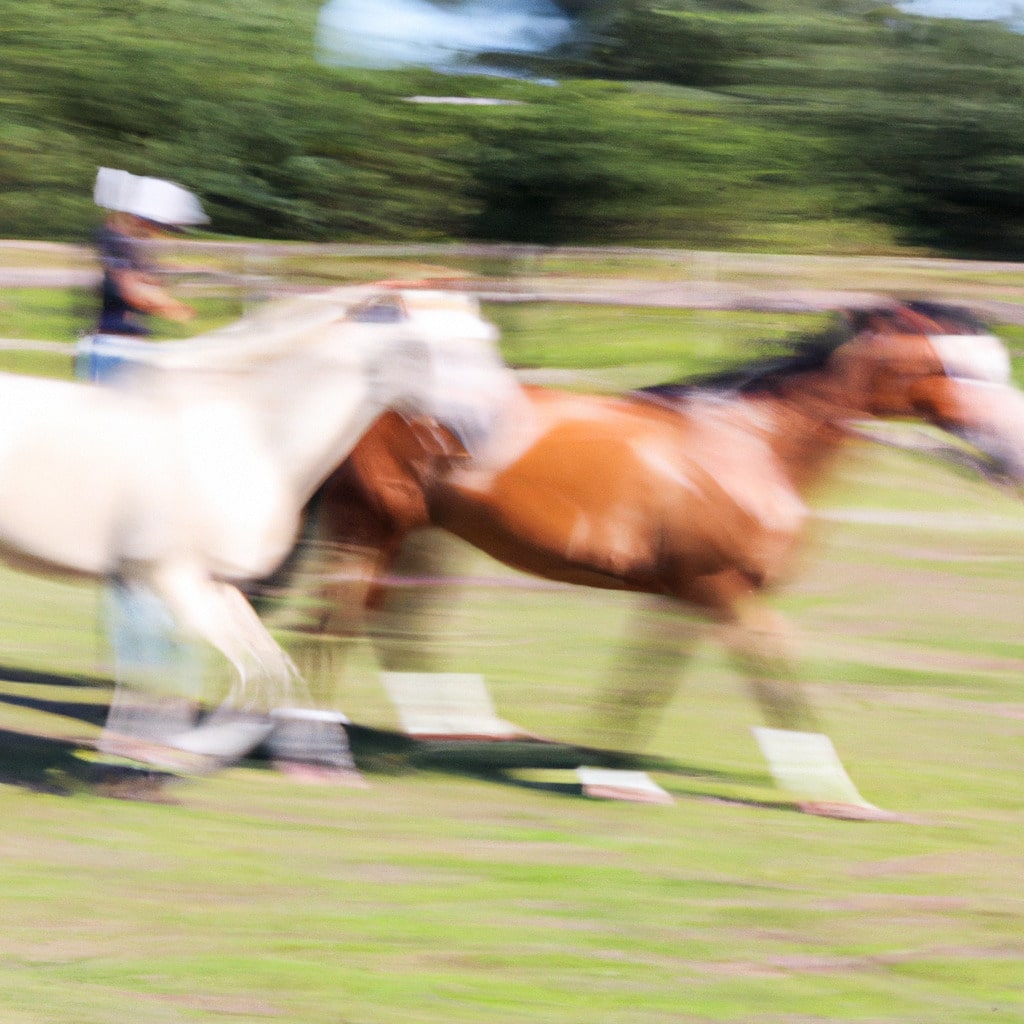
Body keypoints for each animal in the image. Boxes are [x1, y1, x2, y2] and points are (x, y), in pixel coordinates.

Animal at [8, 284, 520, 770]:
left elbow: (271, 673)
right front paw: (173, 752)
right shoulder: (169, 578)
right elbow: (228, 675)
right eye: (442, 352)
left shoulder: (215, 584)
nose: (496, 430)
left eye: (488, 343)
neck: (250, 437)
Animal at [268, 299, 1024, 819]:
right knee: (332, 624)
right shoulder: (724, 588)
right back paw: (320, 759)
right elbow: (776, 679)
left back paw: (442, 733)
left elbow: (645, 681)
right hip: (374, 524)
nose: (1012, 460)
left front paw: (618, 779)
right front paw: (837, 798)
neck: (753, 449)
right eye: (951, 367)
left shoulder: (685, 592)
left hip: (416, 535)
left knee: (383, 622)